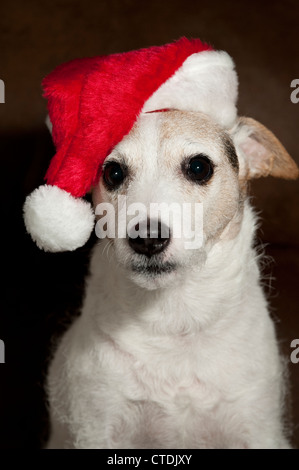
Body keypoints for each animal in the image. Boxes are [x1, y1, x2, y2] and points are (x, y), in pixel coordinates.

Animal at [45, 108, 299, 450]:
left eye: (199, 167)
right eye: (113, 172)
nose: (147, 238)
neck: (174, 320)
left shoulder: (258, 428)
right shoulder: (96, 427)